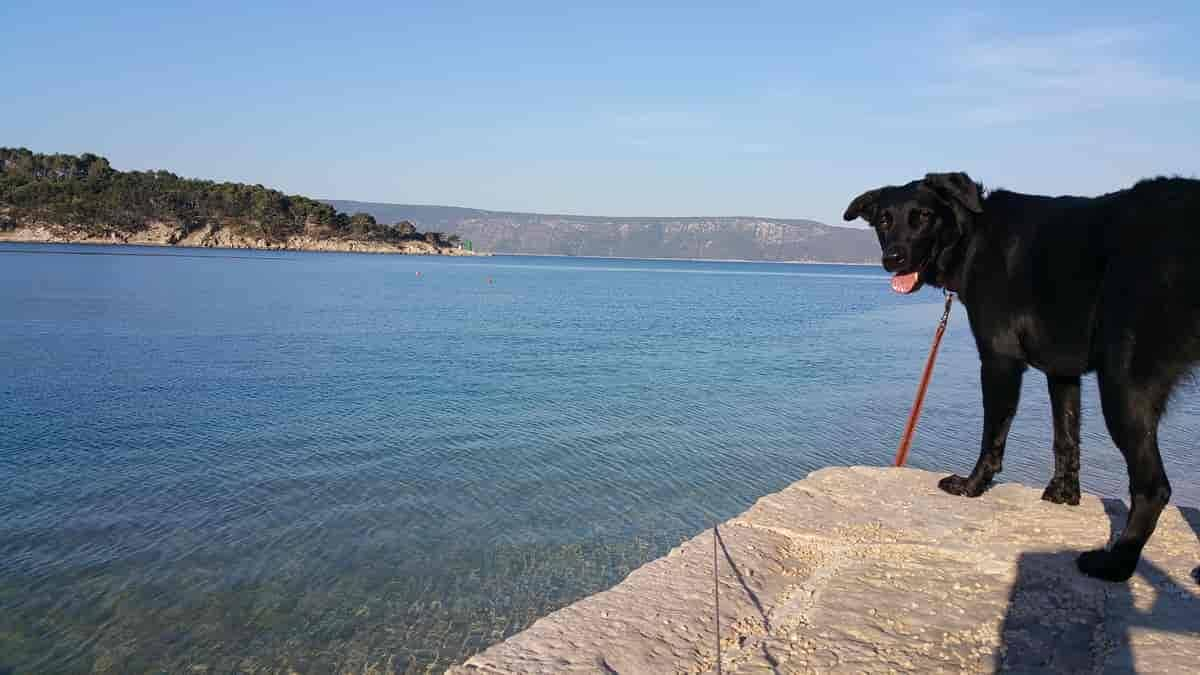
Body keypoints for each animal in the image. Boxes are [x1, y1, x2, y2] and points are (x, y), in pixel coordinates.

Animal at [844, 171, 1200, 578]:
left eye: (923, 216)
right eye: (884, 220)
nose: (893, 259)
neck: (975, 237)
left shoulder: (1000, 361)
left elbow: (993, 435)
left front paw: (972, 485)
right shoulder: (1062, 372)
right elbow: (1066, 438)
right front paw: (1064, 494)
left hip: (1124, 389)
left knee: (1153, 487)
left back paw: (1116, 562)